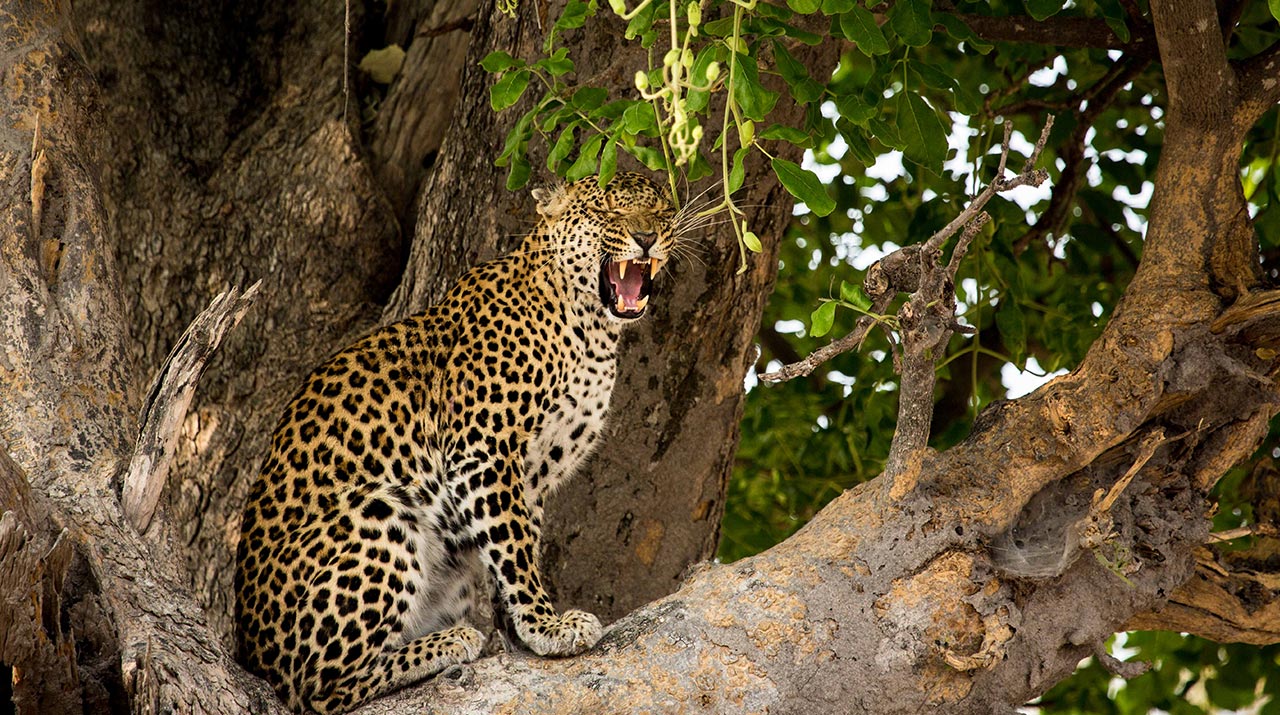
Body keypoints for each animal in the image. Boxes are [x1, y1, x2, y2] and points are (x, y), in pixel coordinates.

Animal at [234, 170, 686, 711]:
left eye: (660, 210)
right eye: (607, 212)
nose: (647, 237)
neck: (591, 331)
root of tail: (251, 651)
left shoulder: (532, 473)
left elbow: (517, 544)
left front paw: (519, 632)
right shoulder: (483, 450)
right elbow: (515, 551)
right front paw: (547, 626)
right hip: (377, 514)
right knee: (318, 688)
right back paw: (448, 642)